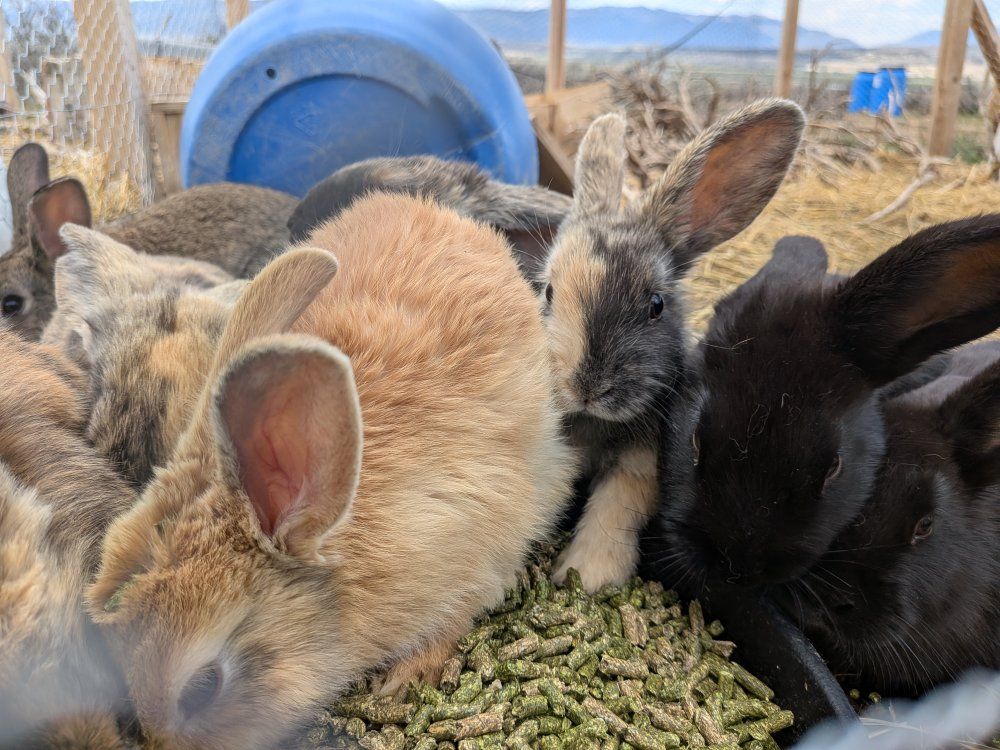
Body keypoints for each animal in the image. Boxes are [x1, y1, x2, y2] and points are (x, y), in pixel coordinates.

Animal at [544, 99, 805, 592]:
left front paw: (587, 576)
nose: (587, 387)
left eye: (656, 305)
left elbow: (614, 508)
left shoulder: (642, 463)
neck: (595, 422)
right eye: (548, 292)